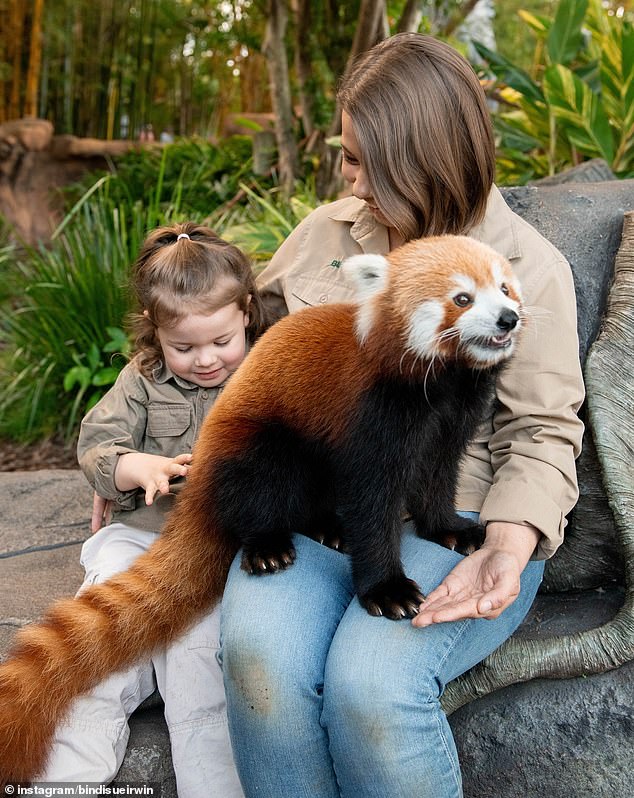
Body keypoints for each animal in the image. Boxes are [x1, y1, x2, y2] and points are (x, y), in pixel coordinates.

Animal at [0, 234, 520, 784]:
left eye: (505, 288)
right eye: (462, 298)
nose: (509, 318)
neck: (441, 382)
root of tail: (202, 470)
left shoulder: (451, 416)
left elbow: (439, 476)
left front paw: (449, 529)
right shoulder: (371, 413)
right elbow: (372, 503)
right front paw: (386, 589)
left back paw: (327, 528)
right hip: (260, 444)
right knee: (261, 486)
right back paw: (268, 545)